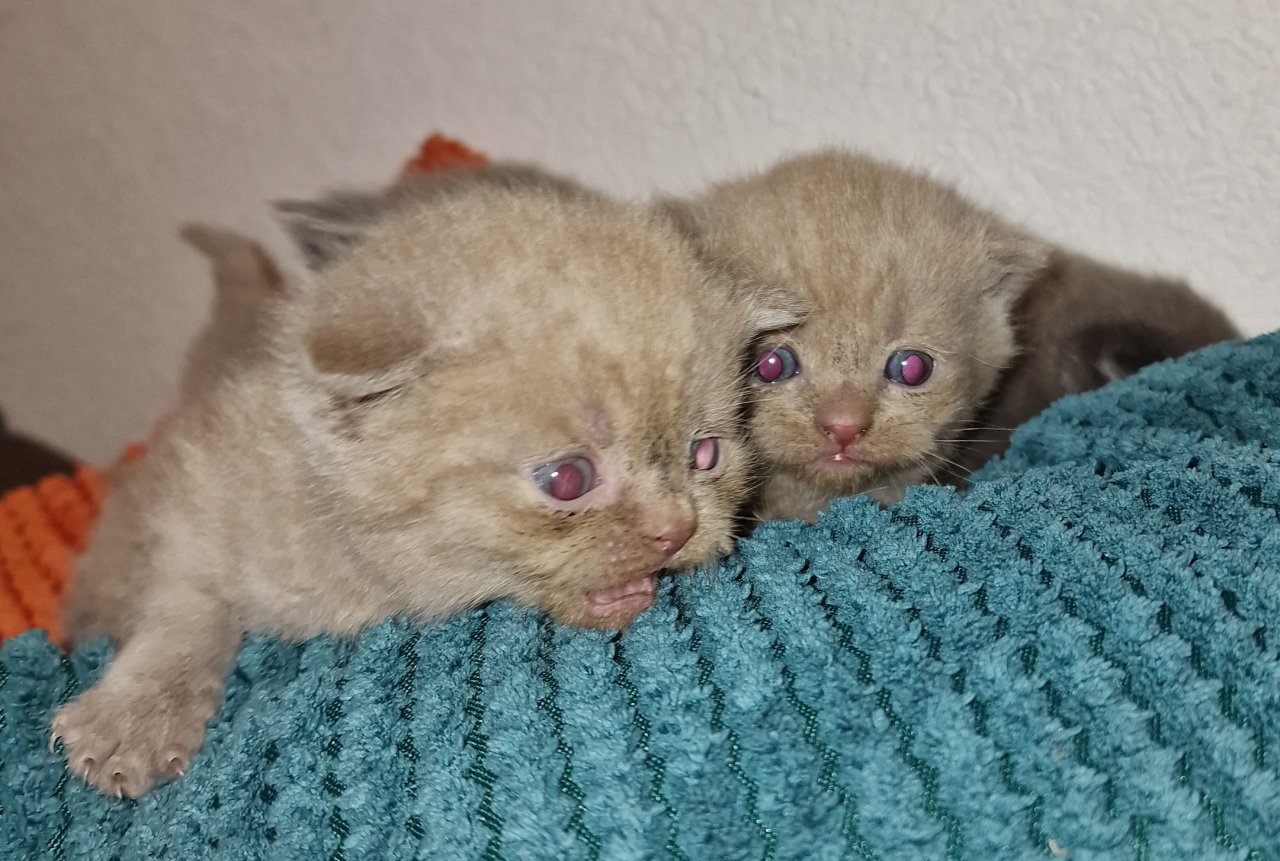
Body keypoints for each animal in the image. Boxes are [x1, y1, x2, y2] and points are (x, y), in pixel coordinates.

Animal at [60, 182, 803, 798]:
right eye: (569, 479)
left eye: (705, 453)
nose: (675, 528)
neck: (361, 577)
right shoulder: (193, 499)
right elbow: (182, 604)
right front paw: (135, 718)